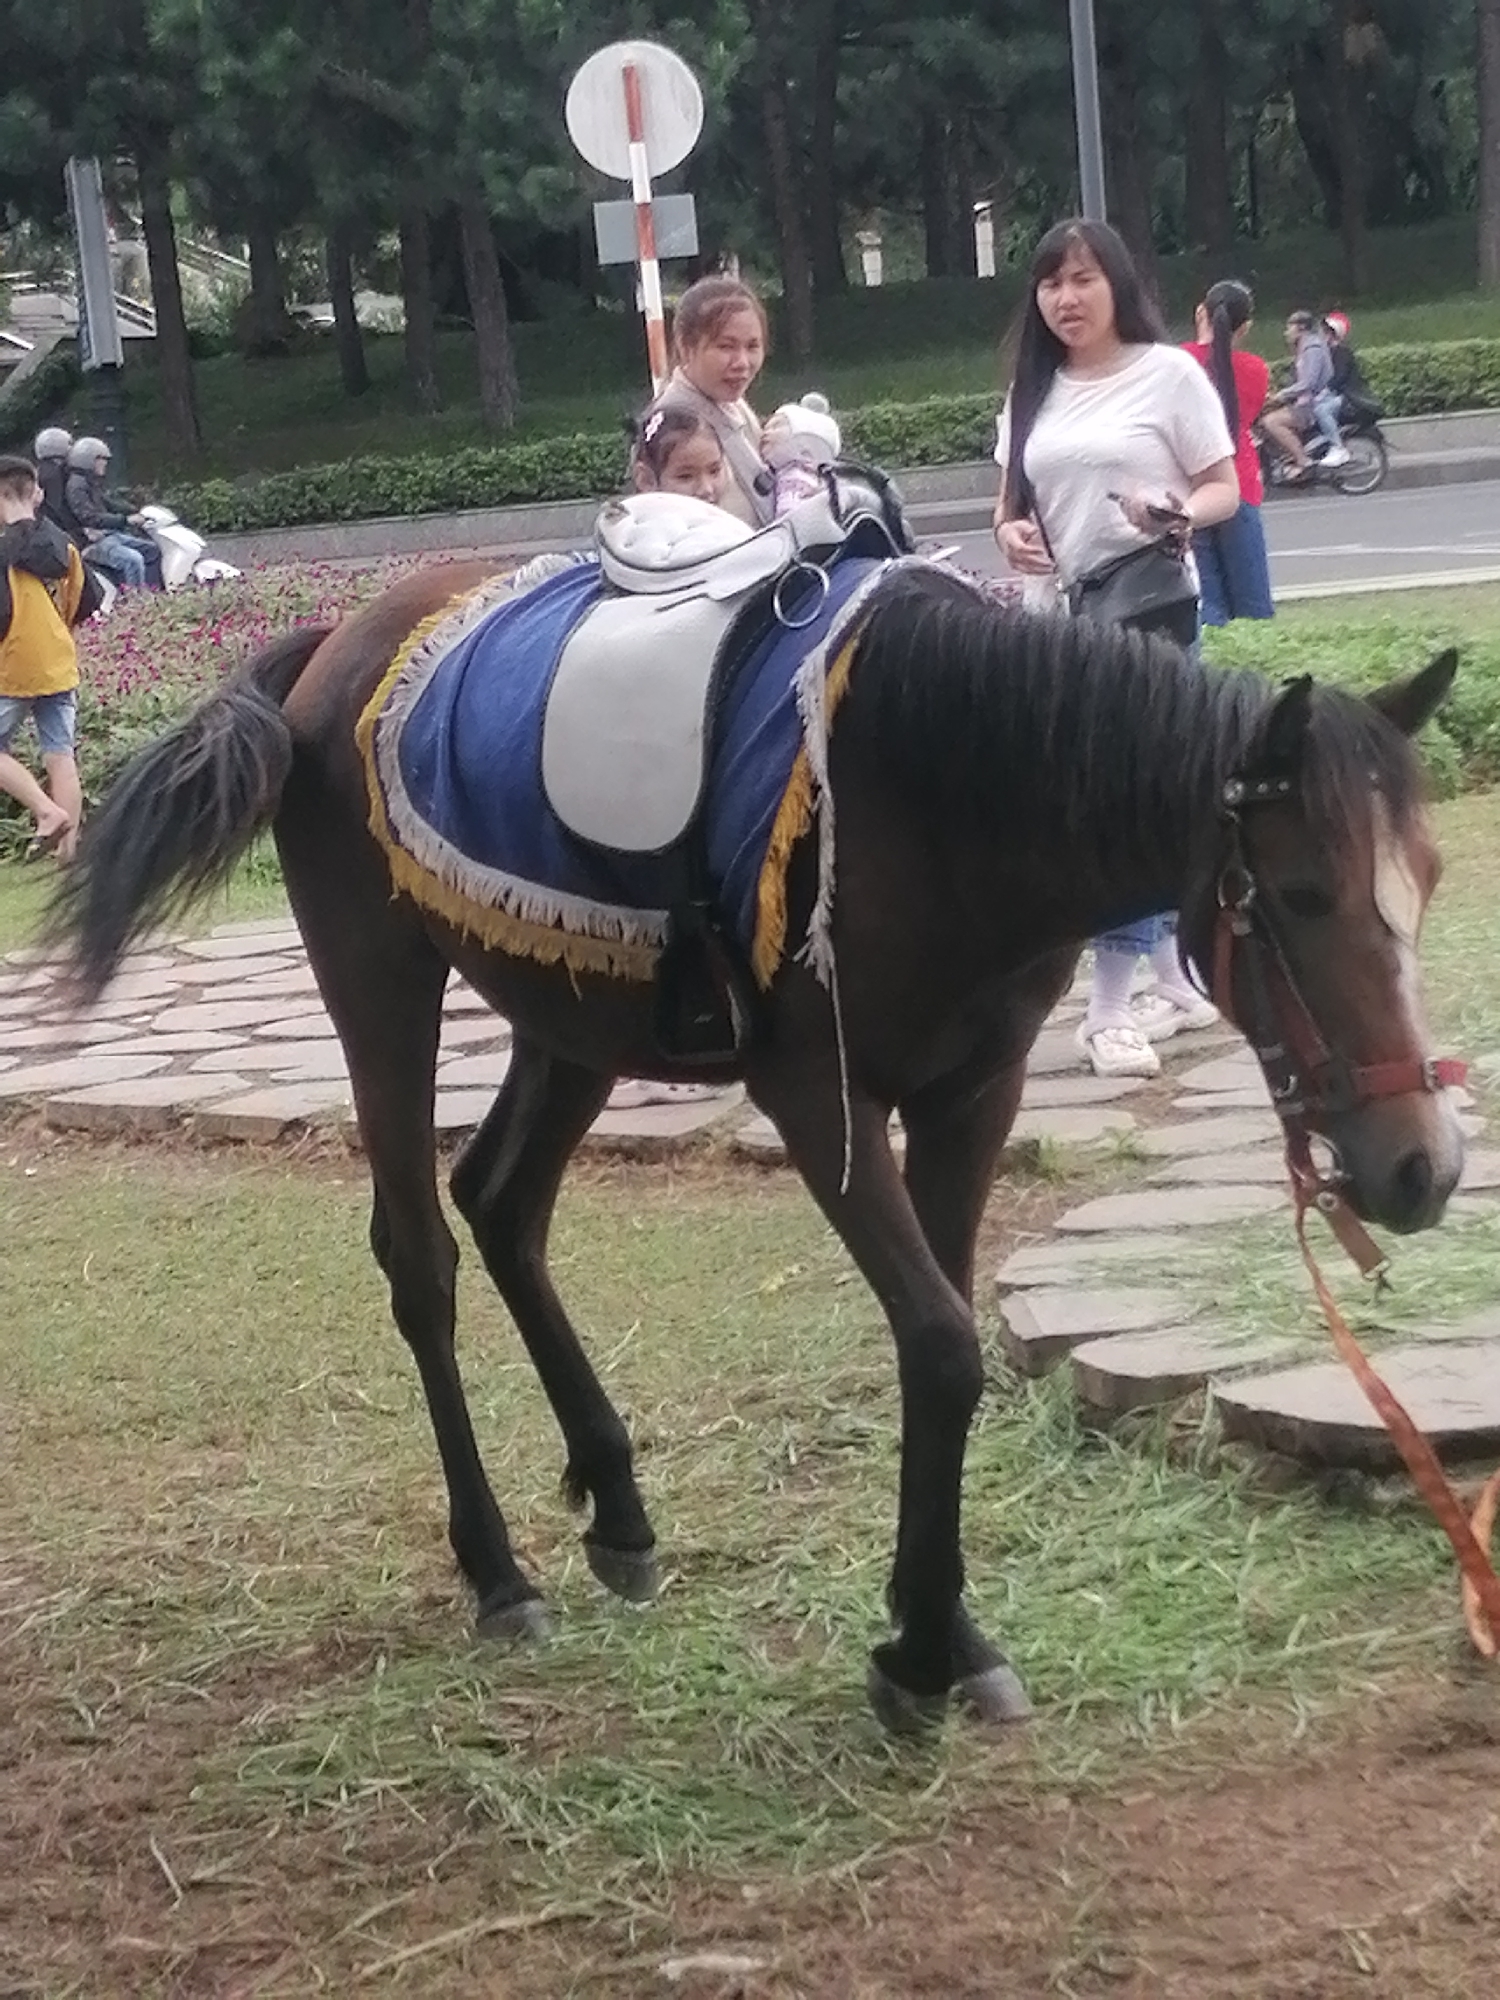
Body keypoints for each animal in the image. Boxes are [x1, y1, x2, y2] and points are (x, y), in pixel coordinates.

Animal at [46, 556, 1463, 1732]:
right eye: (1302, 895)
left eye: (1432, 877)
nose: (1426, 1164)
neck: (935, 786)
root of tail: (336, 643)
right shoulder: (819, 1100)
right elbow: (943, 1343)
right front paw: (922, 1648)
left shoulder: (974, 1094)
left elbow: (943, 1337)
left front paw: (942, 1631)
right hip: (380, 987)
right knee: (422, 1258)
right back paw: (498, 1569)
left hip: (574, 1017)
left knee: (502, 1203)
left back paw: (617, 1503)